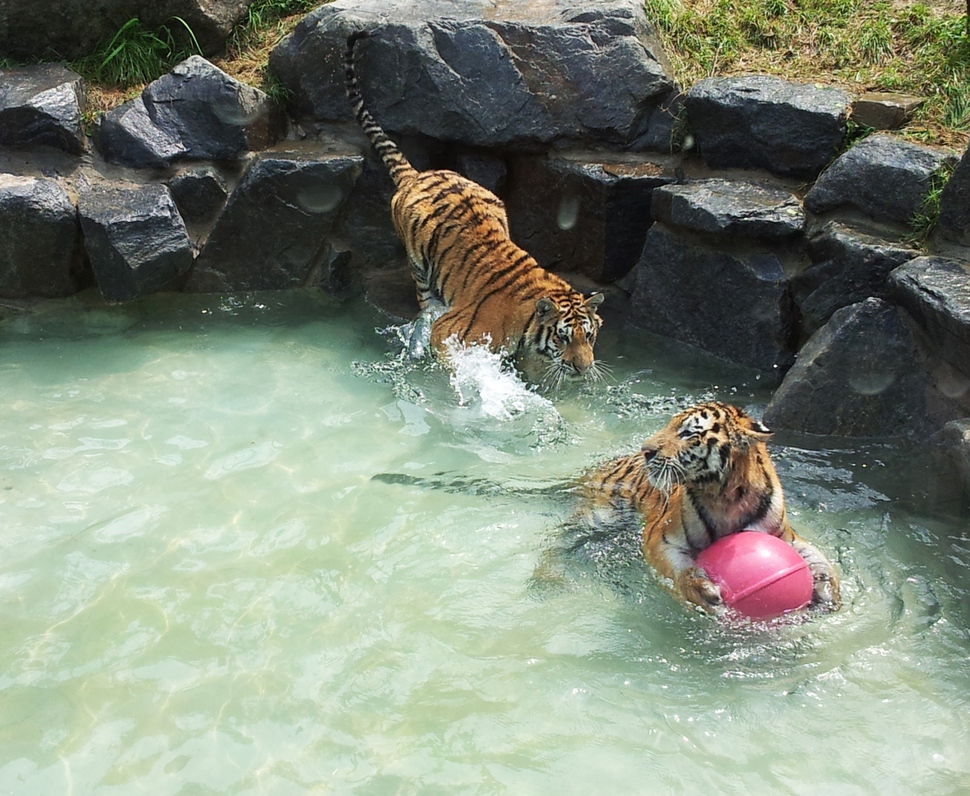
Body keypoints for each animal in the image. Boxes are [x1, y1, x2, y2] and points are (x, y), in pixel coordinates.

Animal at [346, 32, 604, 388]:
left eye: (589, 336)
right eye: (563, 337)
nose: (584, 367)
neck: (526, 323)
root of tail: (418, 175)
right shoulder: (449, 334)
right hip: (419, 268)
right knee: (425, 306)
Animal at [584, 404, 840, 616]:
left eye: (687, 433)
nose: (646, 451)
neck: (727, 498)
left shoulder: (787, 537)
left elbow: (818, 560)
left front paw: (828, 592)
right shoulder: (661, 539)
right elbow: (682, 571)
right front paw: (702, 592)